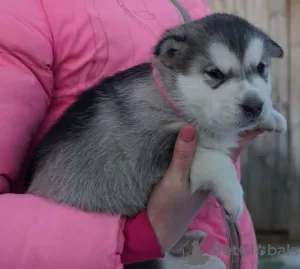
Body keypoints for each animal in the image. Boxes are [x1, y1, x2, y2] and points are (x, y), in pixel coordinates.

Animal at [27, 13, 288, 268]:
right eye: (214, 73)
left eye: (261, 67)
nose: (254, 106)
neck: (175, 101)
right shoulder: (146, 149)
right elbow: (211, 155)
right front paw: (232, 194)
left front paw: (273, 117)